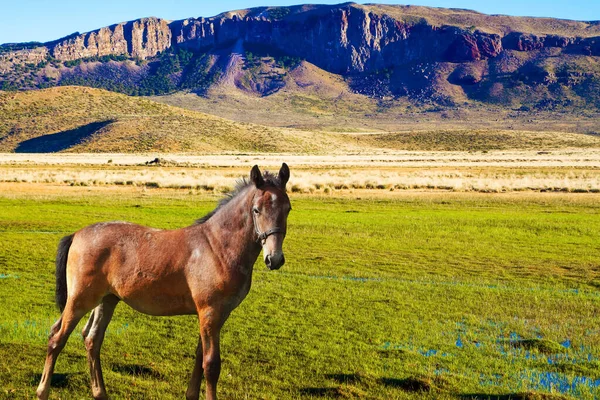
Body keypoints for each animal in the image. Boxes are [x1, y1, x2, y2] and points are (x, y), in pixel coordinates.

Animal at [36, 163, 292, 400]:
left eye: (288, 209)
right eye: (256, 210)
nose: (274, 259)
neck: (218, 247)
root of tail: (77, 234)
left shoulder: (214, 315)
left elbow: (199, 357)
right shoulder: (210, 312)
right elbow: (211, 365)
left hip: (106, 300)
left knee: (92, 340)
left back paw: (100, 393)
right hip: (80, 299)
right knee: (57, 338)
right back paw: (42, 391)